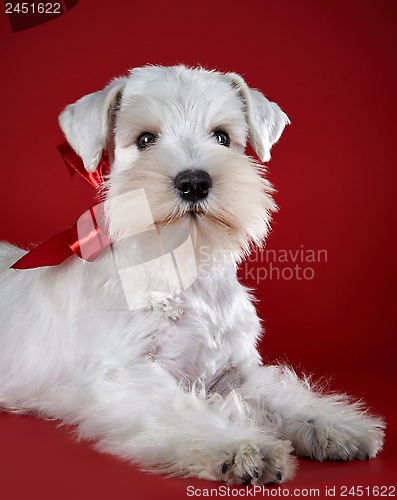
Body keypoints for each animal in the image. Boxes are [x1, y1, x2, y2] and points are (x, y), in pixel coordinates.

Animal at [0, 65, 384, 484]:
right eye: (145, 139)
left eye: (222, 136)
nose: (194, 182)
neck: (186, 267)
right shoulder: (124, 377)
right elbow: (182, 411)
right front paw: (242, 447)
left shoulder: (233, 371)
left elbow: (279, 394)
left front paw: (333, 425)